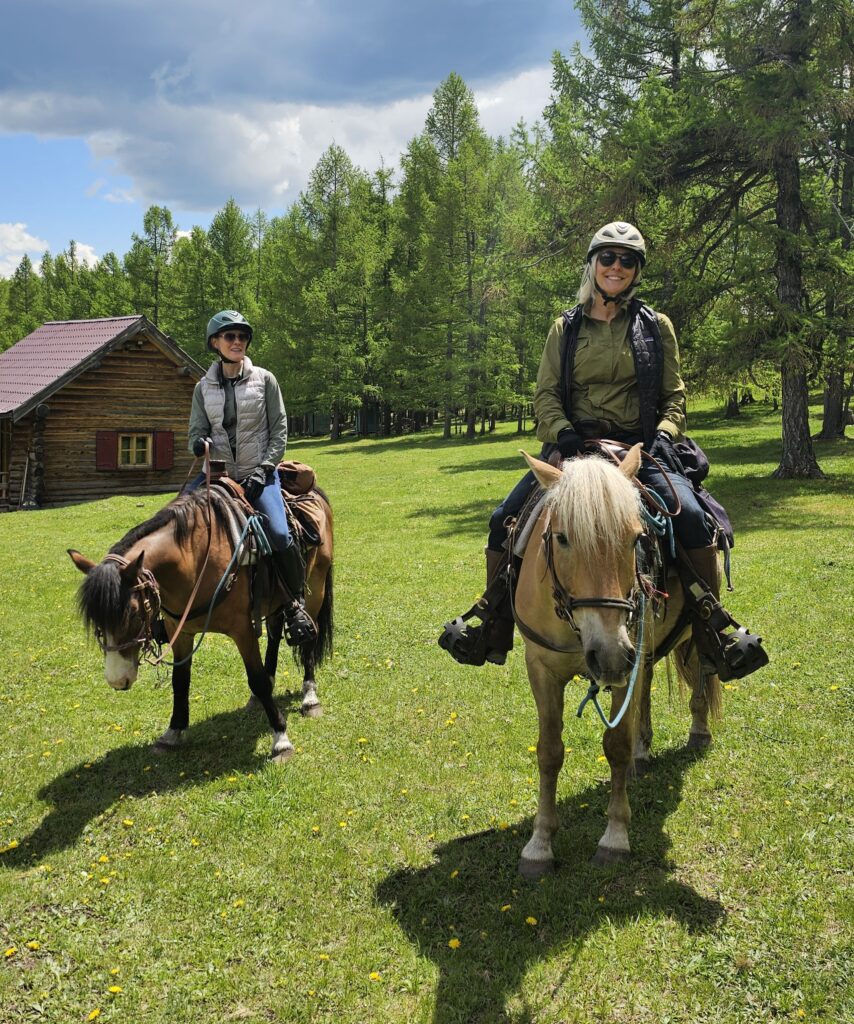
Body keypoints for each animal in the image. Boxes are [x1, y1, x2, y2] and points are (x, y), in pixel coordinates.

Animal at [68, 482, 334, 763]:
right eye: (96, 620)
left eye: (133, 613)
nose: (117, 680)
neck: (195, 559)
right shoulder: (180, 631)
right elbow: (180, 680)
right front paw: (173, 732)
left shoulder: (242, 630)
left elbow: (257, 679)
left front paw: (281, 740)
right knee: (274, 634)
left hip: (315, 588)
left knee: (310, 639)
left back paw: (310, 697)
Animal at [513, 445, 720, 878]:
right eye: (562, 538)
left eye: (637, 537)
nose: (607, 654)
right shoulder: (541, 668)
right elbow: (549, 751)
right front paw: (539, 845)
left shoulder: (627, 655)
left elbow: (616, 746)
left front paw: (615, 838)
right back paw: (644, 751)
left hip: (684, 638)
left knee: (699, 677)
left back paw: (698, 731)